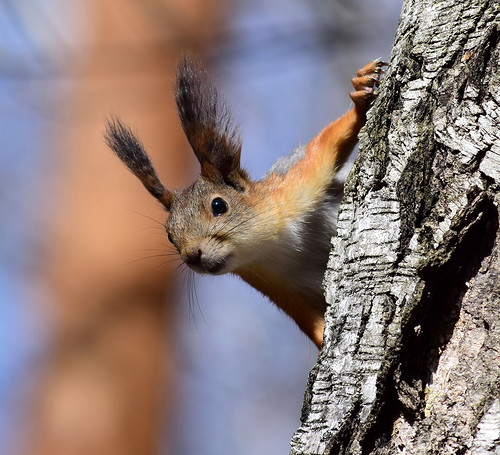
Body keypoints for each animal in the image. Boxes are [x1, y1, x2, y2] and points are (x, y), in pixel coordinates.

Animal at [105, 56, 386, 350]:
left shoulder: (297, 187)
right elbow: (308, 320)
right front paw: (322, 344)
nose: (192, 255)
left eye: (219, 206)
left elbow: (327, 143)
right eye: (169, 236)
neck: (269, 248)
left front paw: (360, 96)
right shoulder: (276, 286)